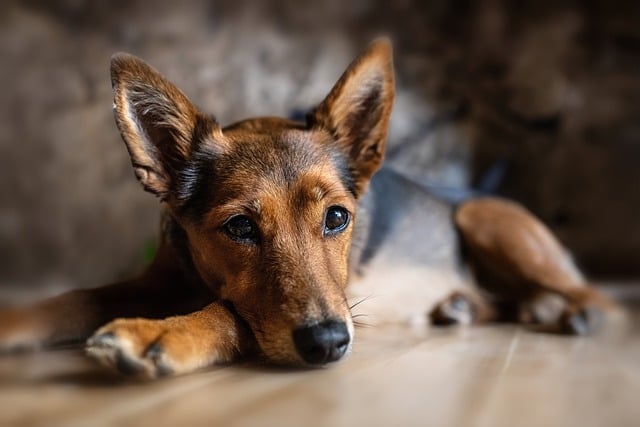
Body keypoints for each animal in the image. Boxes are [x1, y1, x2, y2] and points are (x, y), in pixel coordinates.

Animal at [0, 40, 612, 378]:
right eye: (239, 227)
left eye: (337, 218)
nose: (329, 345)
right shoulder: (156, 279)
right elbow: (78, 296)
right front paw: (16, 322)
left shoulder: (336, 307)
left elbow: (229, 313)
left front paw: (165, 335)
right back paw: (465, 307)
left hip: (483, 218)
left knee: (588, 293)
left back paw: (580, 314)